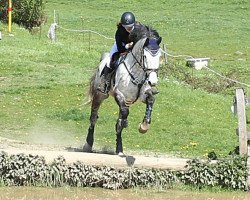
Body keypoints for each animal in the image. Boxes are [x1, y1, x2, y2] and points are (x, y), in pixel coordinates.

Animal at [84, 26, 162, 155]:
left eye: (160, 57)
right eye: (145, 57)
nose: (153, 81)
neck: (138, 71)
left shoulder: (142, 95)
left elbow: (151, 99)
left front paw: (144, 126)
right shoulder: (118, 94)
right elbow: (124, 113)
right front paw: (125, 122)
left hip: (127, 101)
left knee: (118, 123)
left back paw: (119, 149)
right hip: (100, 95)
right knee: (93, 117)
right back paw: (88, 144)